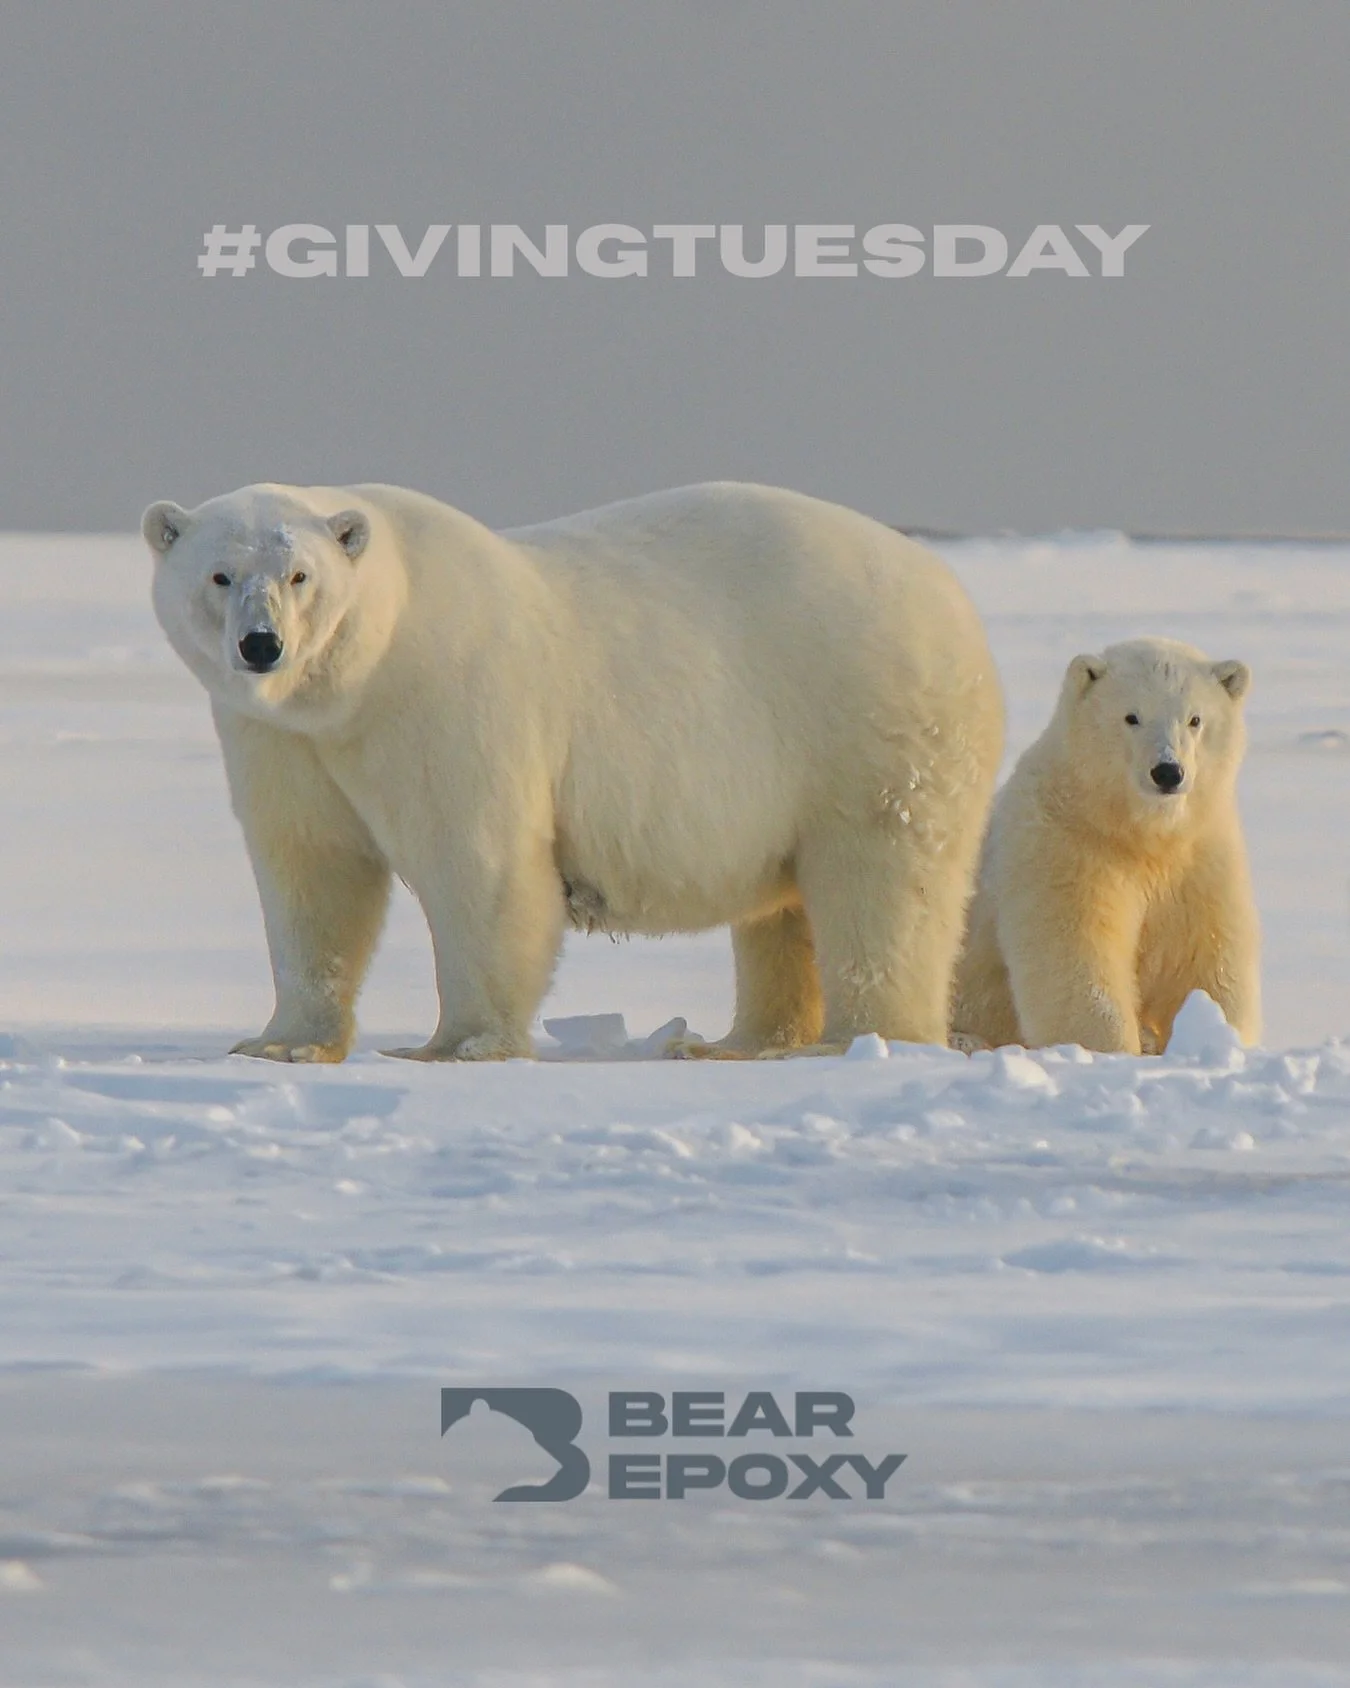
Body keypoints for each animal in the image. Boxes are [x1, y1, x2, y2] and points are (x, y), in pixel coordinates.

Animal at [142, 479, 1005, 1063]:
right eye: (219, 575)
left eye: (301, 576)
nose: (262, 646)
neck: (361, 678)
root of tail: (949, 592)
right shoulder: (282, 739)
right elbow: (311, 872)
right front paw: (281, 1043)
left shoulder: (450, 699)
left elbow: (479, 865)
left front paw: (458, 1045)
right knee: (782, 910)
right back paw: (741, 1040)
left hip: (865, 722)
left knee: (882, 883)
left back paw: (862, 1038)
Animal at [951, 636, 1260, 1056]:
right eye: (1131, 717)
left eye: (1195, 719)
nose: (1167, 772)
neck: (1136, 832)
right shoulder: (1064, 847)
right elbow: (1077, 955)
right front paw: (1112, 1048)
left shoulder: (1199, 857)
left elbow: (1205, 958)